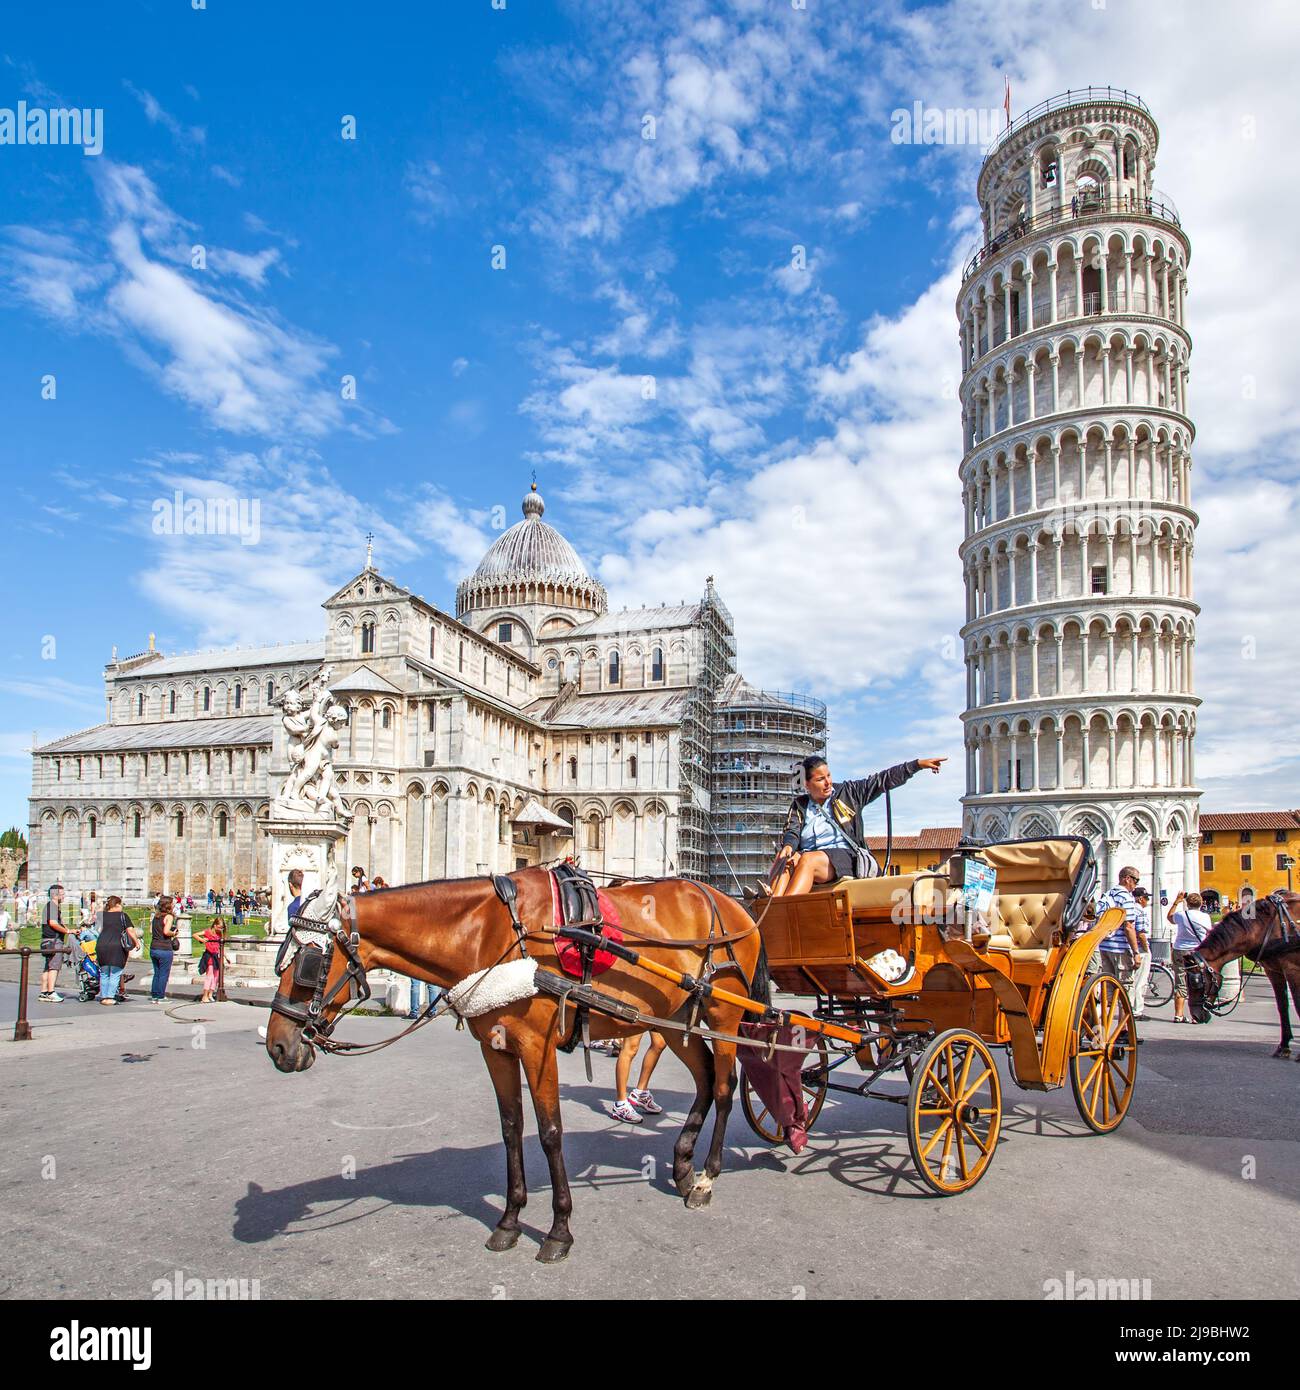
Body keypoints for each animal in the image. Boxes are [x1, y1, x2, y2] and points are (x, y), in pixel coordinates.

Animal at [266, 867, 773, 1262]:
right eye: (280, 957)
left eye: (307, 960)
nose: (278, 1047)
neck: (492, 932)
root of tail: (736, 905)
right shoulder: (496, 1048)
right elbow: (511, 1129)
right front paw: (509, 1222)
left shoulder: (537, 1045)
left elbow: (550, 1133)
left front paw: (559, 1230)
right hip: (670, 1016)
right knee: (705, 1079)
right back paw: (683, 1168)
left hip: (723, 1013)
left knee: (724, 1088)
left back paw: (707, 1177)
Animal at [1190, 889, 1300, 1050]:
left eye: (1197, 982)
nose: (1196, 1016)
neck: (1267, 926)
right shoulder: (1274, 971)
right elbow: (1282, 1005)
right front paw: (1284, 1046)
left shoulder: (1293, 969)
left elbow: (1297, 1005)